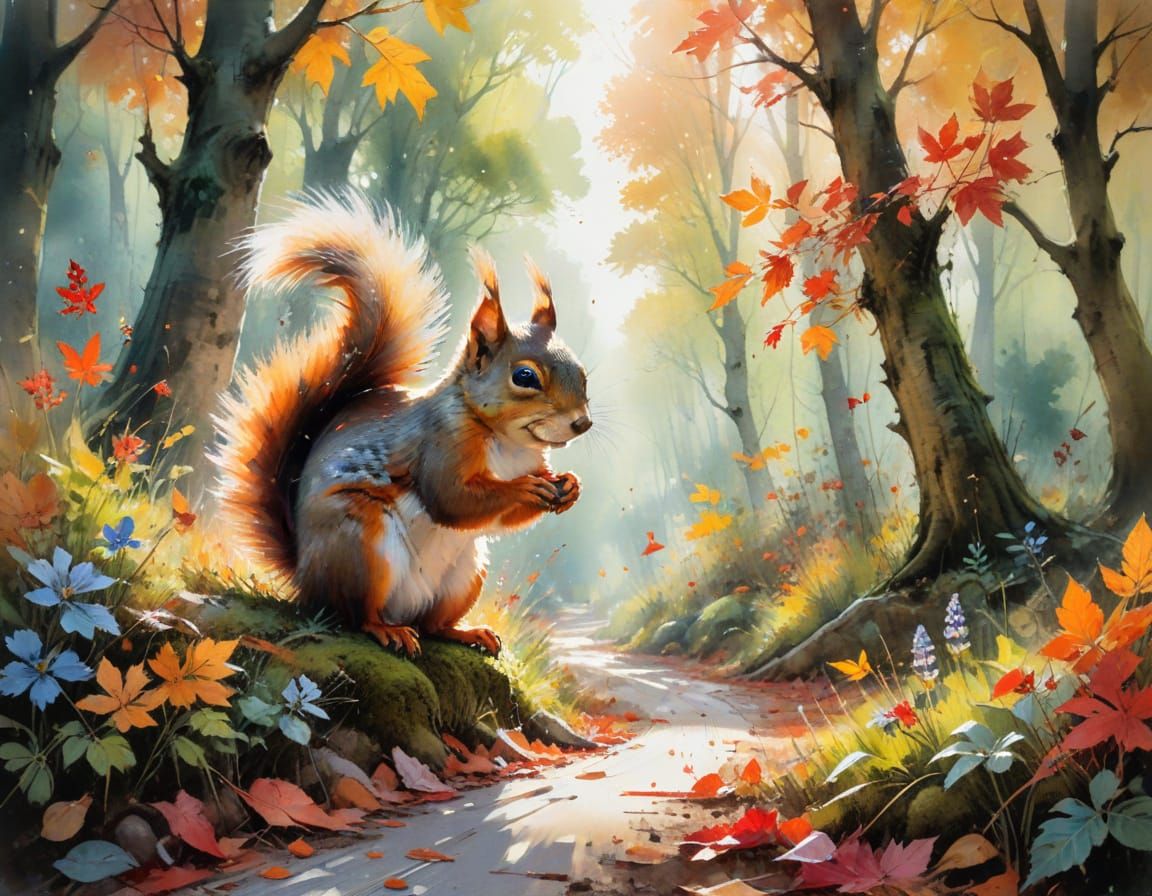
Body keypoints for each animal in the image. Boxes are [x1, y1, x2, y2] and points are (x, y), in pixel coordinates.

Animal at [212, 191, 590, 657]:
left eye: (583, 373)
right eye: (524, 377)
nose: (582, 423)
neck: (509, 443)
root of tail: (304, 577)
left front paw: (569, 486)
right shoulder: (440, 441)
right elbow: (452, 499)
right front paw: (523, 489)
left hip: (465, 575)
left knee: (433, 624)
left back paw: (467, 632)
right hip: (358, 545)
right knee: (355, 614)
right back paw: (385, 629)